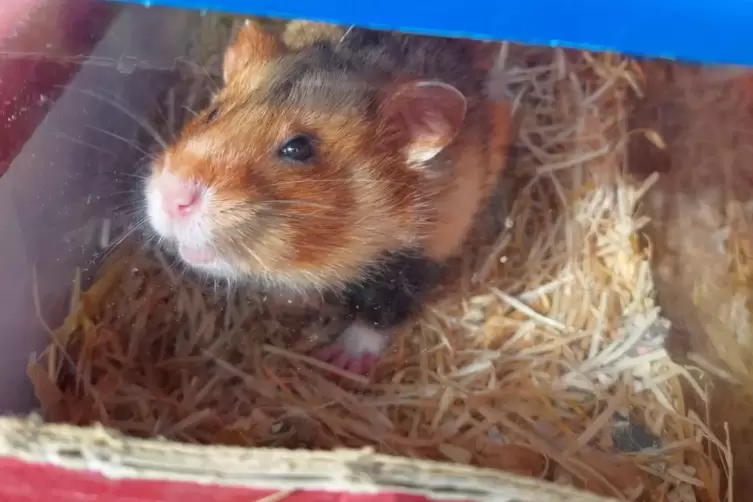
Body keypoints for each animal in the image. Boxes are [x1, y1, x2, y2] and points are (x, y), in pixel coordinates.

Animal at [144, 20, 512, 375]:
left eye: (298, 148)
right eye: (213, 114)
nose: (172, 196)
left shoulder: (420, 254)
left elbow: (380, 310)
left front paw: (339, 361)